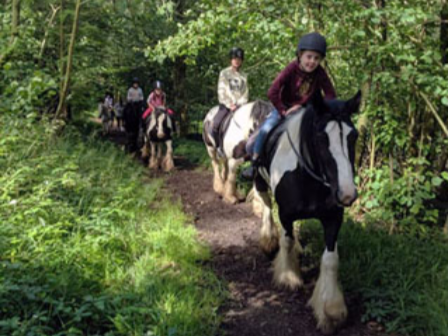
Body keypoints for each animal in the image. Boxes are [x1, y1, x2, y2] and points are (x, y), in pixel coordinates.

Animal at [254, 91, 362, 334]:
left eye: (354, 136)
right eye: (322, 137)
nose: (347, 193)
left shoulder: (333, 218)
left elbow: (330, 259)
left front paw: (331, 311)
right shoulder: (285, 213)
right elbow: (285, 241)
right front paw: (288, 277)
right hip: (259, 181)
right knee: (266, 206)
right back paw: (268, 240)